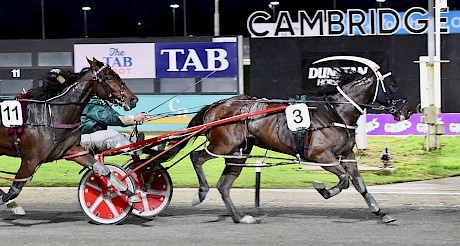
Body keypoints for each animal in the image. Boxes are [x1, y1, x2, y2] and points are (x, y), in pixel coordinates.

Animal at [0, 58, 140, 209]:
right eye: (108, 77)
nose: (133, 99)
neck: (51, 116)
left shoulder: (73, 150)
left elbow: (103, 169)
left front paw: (131, 194)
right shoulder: (30, 160)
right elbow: (14, 191)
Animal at [163, 57, 414, 223]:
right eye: (393, 85)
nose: (409, 110)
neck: (335, 112)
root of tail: (216, 105)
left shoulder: (347, 155)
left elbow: (359, 183)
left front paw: (381, 212)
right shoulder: (320, 155)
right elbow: (343, 180)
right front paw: (322, 189)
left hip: (239, 153)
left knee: (224, 185)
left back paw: (239, 217)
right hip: (222, 145)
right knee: (197, 157)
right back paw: (200, 193)